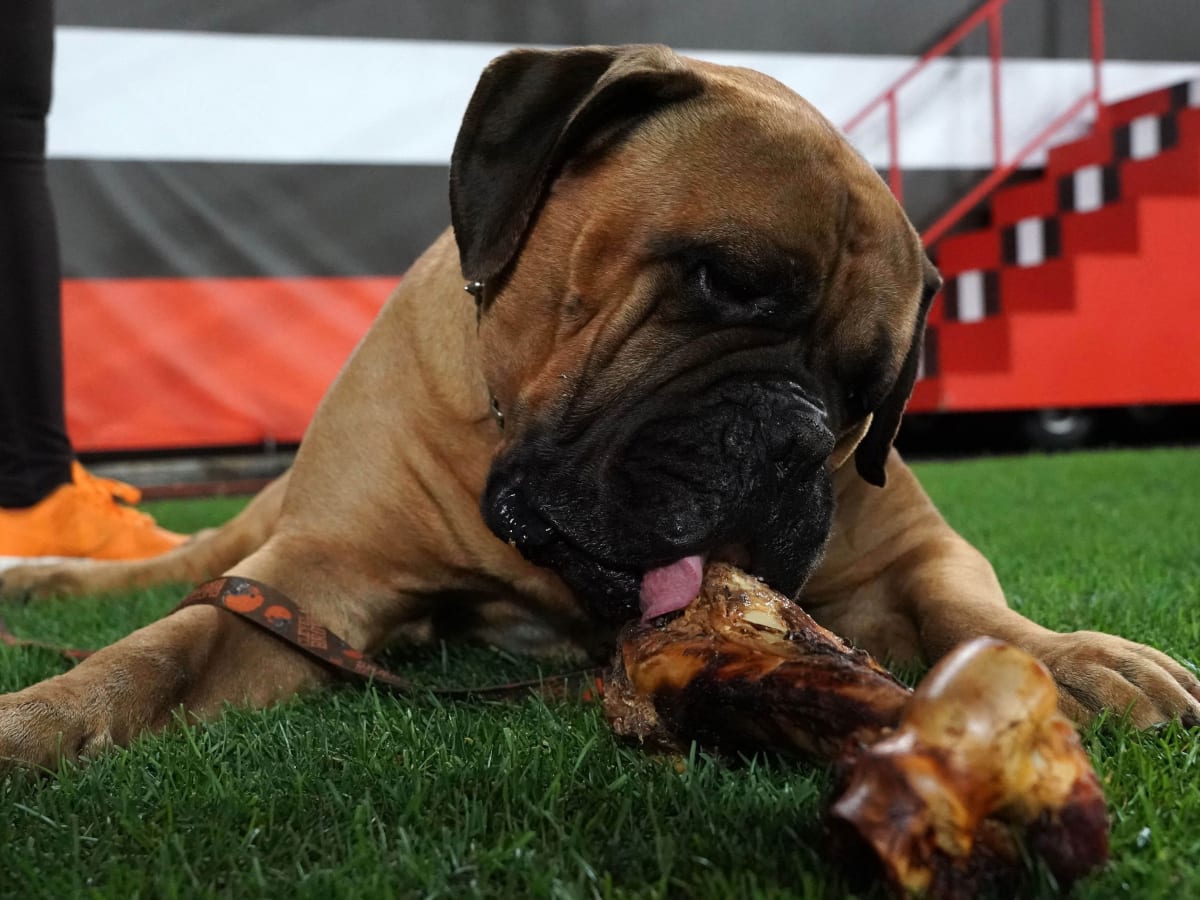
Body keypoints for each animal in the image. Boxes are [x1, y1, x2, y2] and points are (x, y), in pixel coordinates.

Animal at [2, 47, 1200, 768]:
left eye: (870, 393)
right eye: (722, 279)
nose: (794, 440)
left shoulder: (905, 554)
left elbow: (973, 610)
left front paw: (1079, 659)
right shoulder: (314, 577)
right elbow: (165, 647)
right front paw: (43, 717)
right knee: (182, 565)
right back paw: (49, 573)